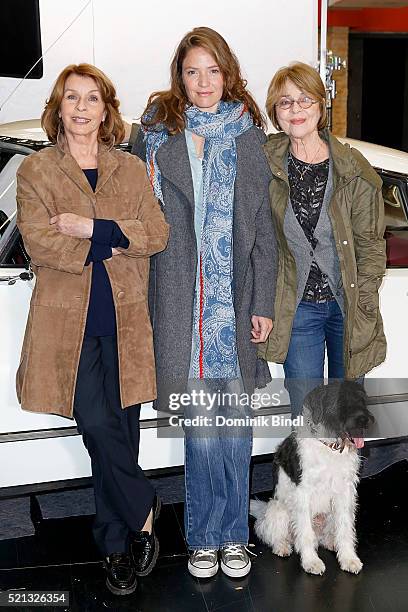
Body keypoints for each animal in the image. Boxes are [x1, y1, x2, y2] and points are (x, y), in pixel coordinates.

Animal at [249, 380, 372, 576]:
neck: (330, 446)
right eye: (341, 401)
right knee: (277, 536)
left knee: (324, 537)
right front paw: (311, 562)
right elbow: (305, 533)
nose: (364, 420)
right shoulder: (303, 494)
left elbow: (345, 529)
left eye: (362, 399)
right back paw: (282, 547)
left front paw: (349, 559)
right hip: (279, 511)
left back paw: (331, 543)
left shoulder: (345, 493)